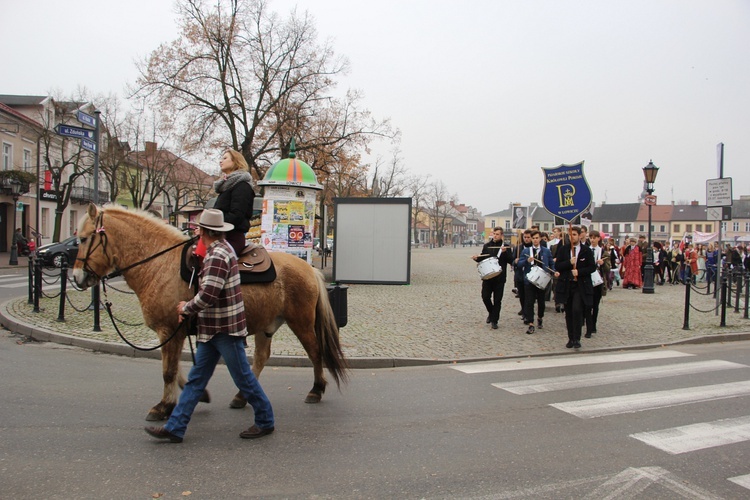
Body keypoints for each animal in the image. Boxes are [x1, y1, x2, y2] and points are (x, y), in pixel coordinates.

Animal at [73, 201, 350, 420]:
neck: (160, 264)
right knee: (262, 356)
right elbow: (177, 368)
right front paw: (197, 393)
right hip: (268, 324)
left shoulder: (169, 330)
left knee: (315, 351)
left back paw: (316, 389)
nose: (77, 278)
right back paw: (242, 396)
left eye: (84, 239)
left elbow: (168, 371)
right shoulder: (174, 333)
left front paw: (163, 406)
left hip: (301, 322)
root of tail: (309, 269)